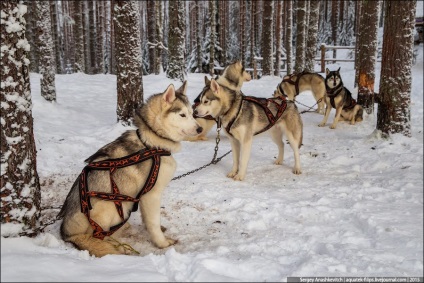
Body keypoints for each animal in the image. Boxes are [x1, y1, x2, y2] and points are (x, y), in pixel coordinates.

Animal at [58, 81, 202, 258]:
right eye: (182, 115)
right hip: (110, 206)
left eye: (192, 113)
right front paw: (162, 243)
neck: (152, 143)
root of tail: (68, 234)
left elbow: (148, 219)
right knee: (100, 237)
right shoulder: (151, 194)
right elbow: (153, 222)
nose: (200, 129)